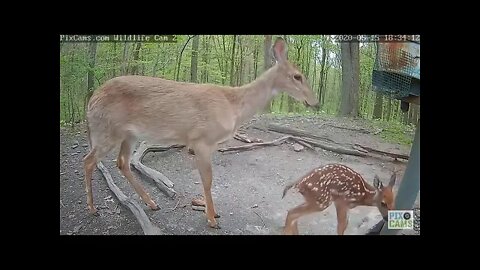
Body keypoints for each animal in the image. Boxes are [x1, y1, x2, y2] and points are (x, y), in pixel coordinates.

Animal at [83, 37, 318, 229]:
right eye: (297, 76)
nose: (314, 101)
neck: (233, 106)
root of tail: (90, 101)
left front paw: (212, 214)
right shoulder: (201, 140)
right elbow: (208, 180)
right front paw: (212, 219)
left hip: (129, 134)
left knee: (122, 162)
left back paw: (151, 203)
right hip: (107, 130)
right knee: (89, 160)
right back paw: (93, 208)